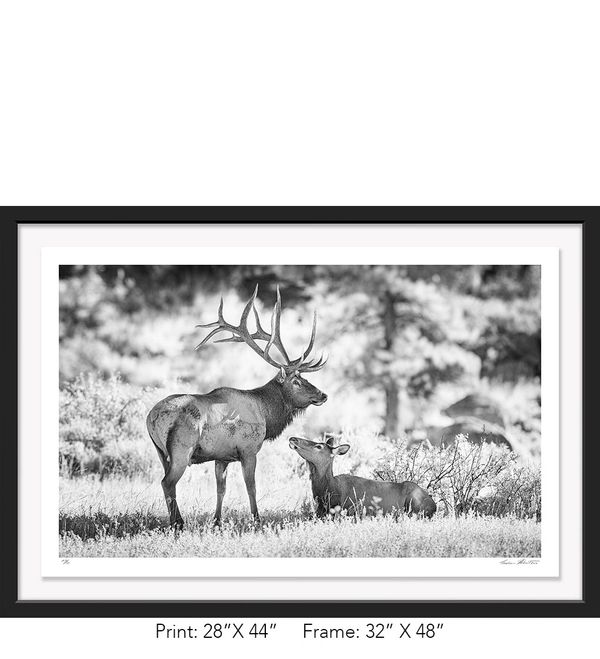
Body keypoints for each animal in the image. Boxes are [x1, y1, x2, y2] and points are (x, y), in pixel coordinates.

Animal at [146, 285, 328, 529]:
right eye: (296, 381)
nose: (322, 394)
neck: (266, 413)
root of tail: (151, 417)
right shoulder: (248, 449)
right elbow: (251, 487)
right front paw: (257, 520)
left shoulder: (222, 456)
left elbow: (221, 489)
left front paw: (217, 521)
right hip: (182, 448)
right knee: (168, 483)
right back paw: (179, 524)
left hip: (160, 452)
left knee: (167, 483)